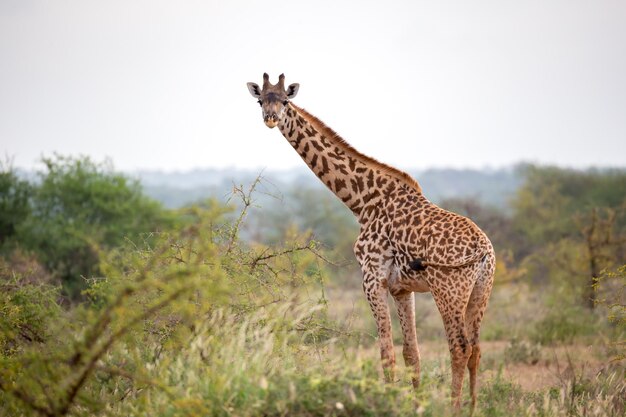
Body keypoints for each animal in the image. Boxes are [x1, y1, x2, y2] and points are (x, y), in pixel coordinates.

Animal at [246, 73, 494, 408]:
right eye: (261, 100)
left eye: (285, 100)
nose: (270, 118)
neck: (362, 202)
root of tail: (483, 251)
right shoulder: (402, 288)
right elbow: (411, 353)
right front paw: (416, 405)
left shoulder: (371, 277)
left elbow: (386, 353)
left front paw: (387, 403)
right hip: (481, 290)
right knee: (476, 350)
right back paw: (472, 406)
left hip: (449, 290)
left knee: (459, 347)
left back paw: (454, 409)